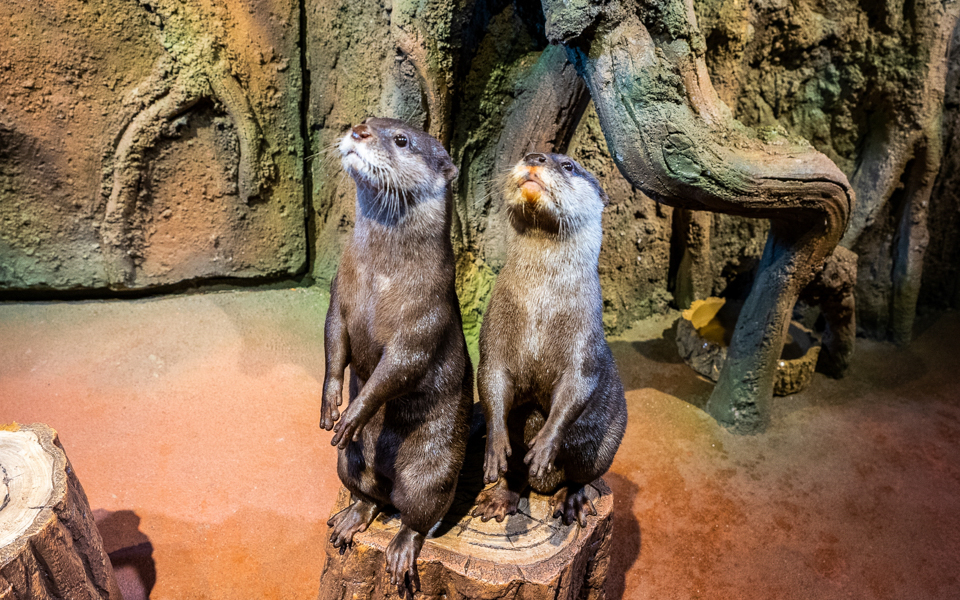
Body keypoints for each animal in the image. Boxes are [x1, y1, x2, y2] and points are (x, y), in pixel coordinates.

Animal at [319, 117, 473, 589]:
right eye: (370, 120)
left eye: (402, 140)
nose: (358, 131)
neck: (381, 274)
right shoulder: (340, 292)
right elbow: (334, 341)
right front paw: (331, 403)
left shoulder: (425, 316)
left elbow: (398, 368)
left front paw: (354, 414)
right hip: (349, 464)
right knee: (368, 494)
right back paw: (350, 519)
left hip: (431, 468)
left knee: (417, 513)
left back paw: (402, 551)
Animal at [473, 152, 627, 526]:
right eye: (526, 154)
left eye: (570, 165)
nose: (534, 157)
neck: (541, 305)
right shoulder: (496, 331)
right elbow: (491, 377)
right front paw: (494, 446)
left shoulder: (586, 337)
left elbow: (577, 386)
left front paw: (543, 447)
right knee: (516, 472)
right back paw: (499, 497)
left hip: (605, 446)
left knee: (580, 476)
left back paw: (570, 501)